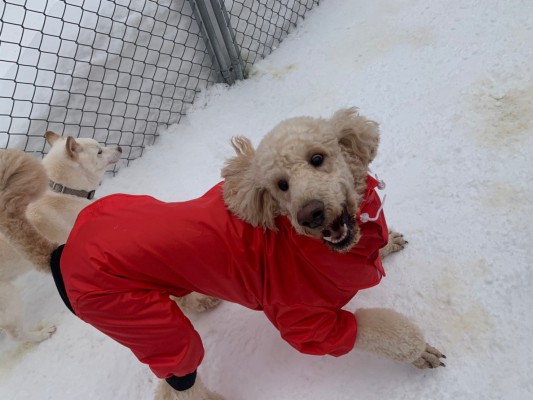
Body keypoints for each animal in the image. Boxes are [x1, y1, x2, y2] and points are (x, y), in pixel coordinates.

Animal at [0, 132, 120, 344]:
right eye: (99, 151)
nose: (120, 148)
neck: (63, 190)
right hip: (9, 298)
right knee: (16, 334)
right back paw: (41, 334)